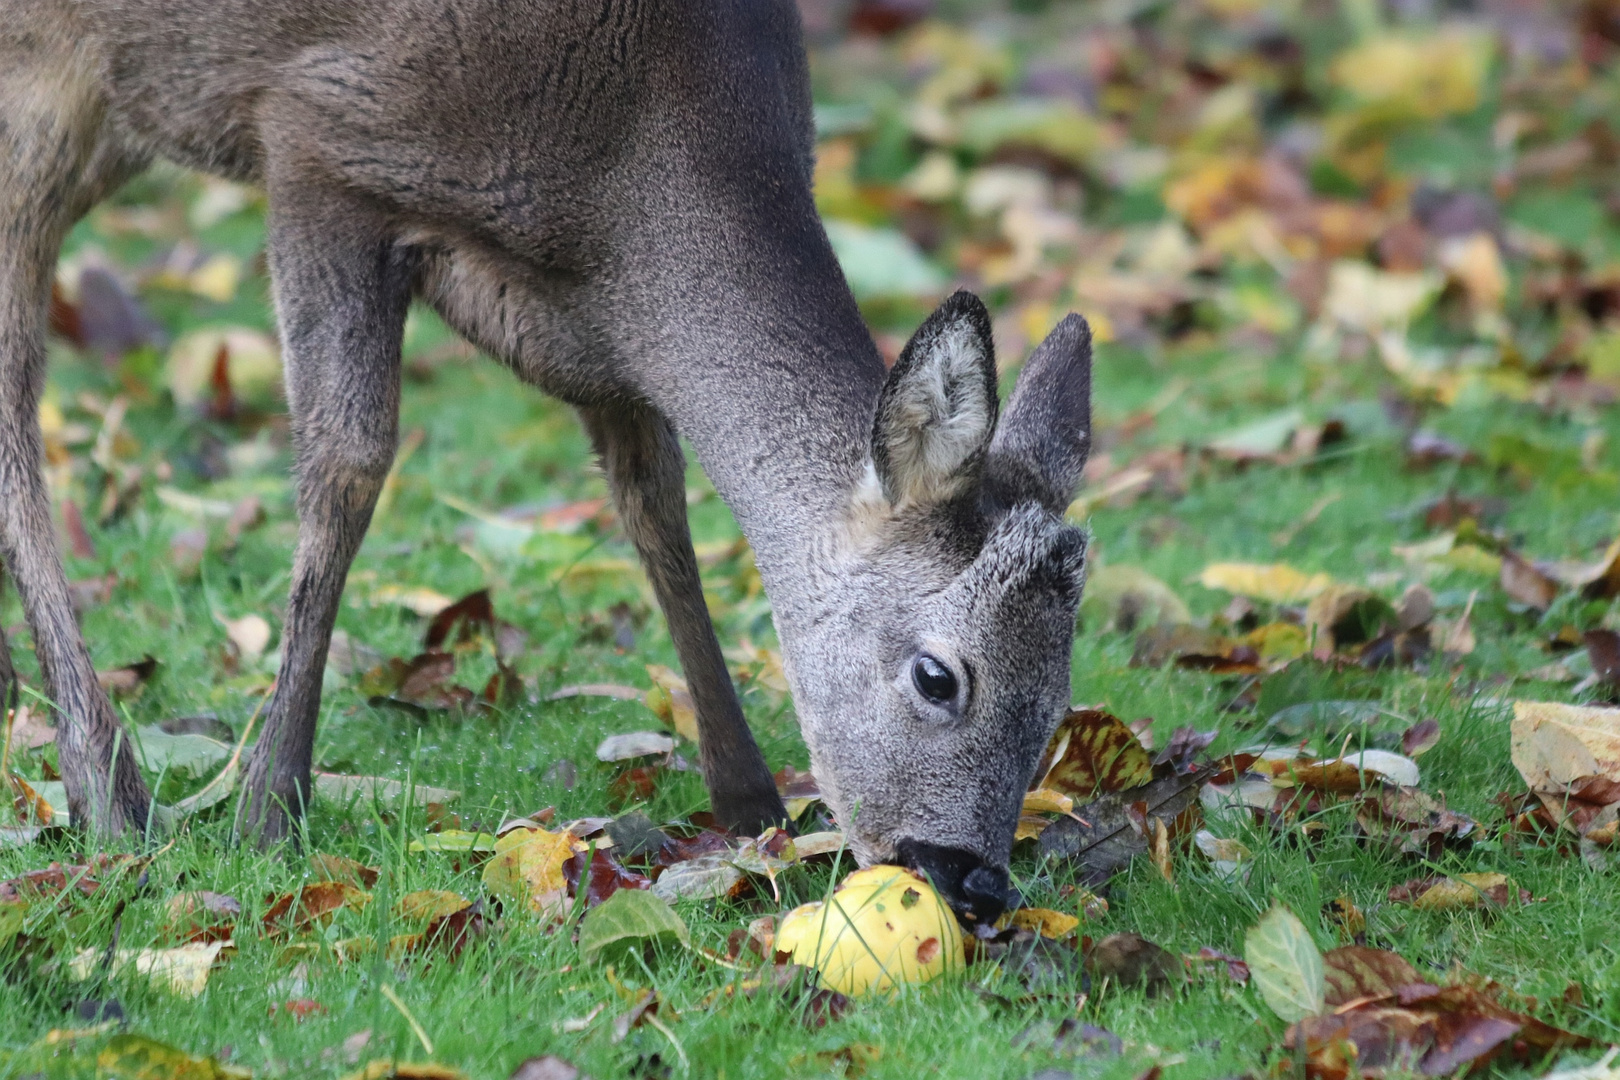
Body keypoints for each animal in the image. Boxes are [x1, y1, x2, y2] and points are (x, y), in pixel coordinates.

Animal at [0, 2, 1095, 932]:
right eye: (938, 675)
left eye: (1058, 698)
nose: (972, 884)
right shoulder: (315, 136)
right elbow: (347, 468)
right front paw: (271, 810)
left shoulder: (592, 339)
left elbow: (657, 516)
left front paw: (748, 802)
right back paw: (108, 787)